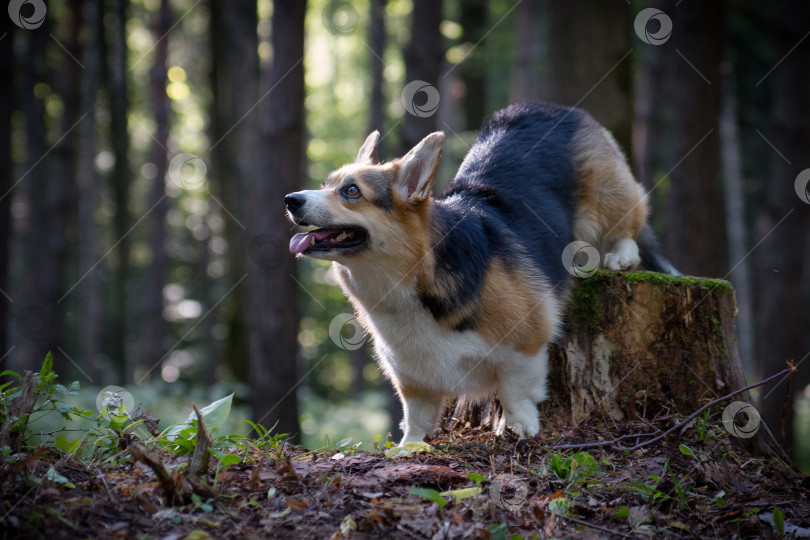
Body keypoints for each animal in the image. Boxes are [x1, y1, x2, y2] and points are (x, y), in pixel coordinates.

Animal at [284, 102, 668, 448]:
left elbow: (515, 389)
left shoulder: (526, 341)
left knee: (629, 223)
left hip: (610, 195)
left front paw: (520, 425)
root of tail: (551, 107)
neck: (415, 275)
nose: (290, 199)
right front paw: (409, 447)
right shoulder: (410, 373)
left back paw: (620, 255)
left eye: (351, 191)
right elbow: (416, 415)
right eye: (325, 183)